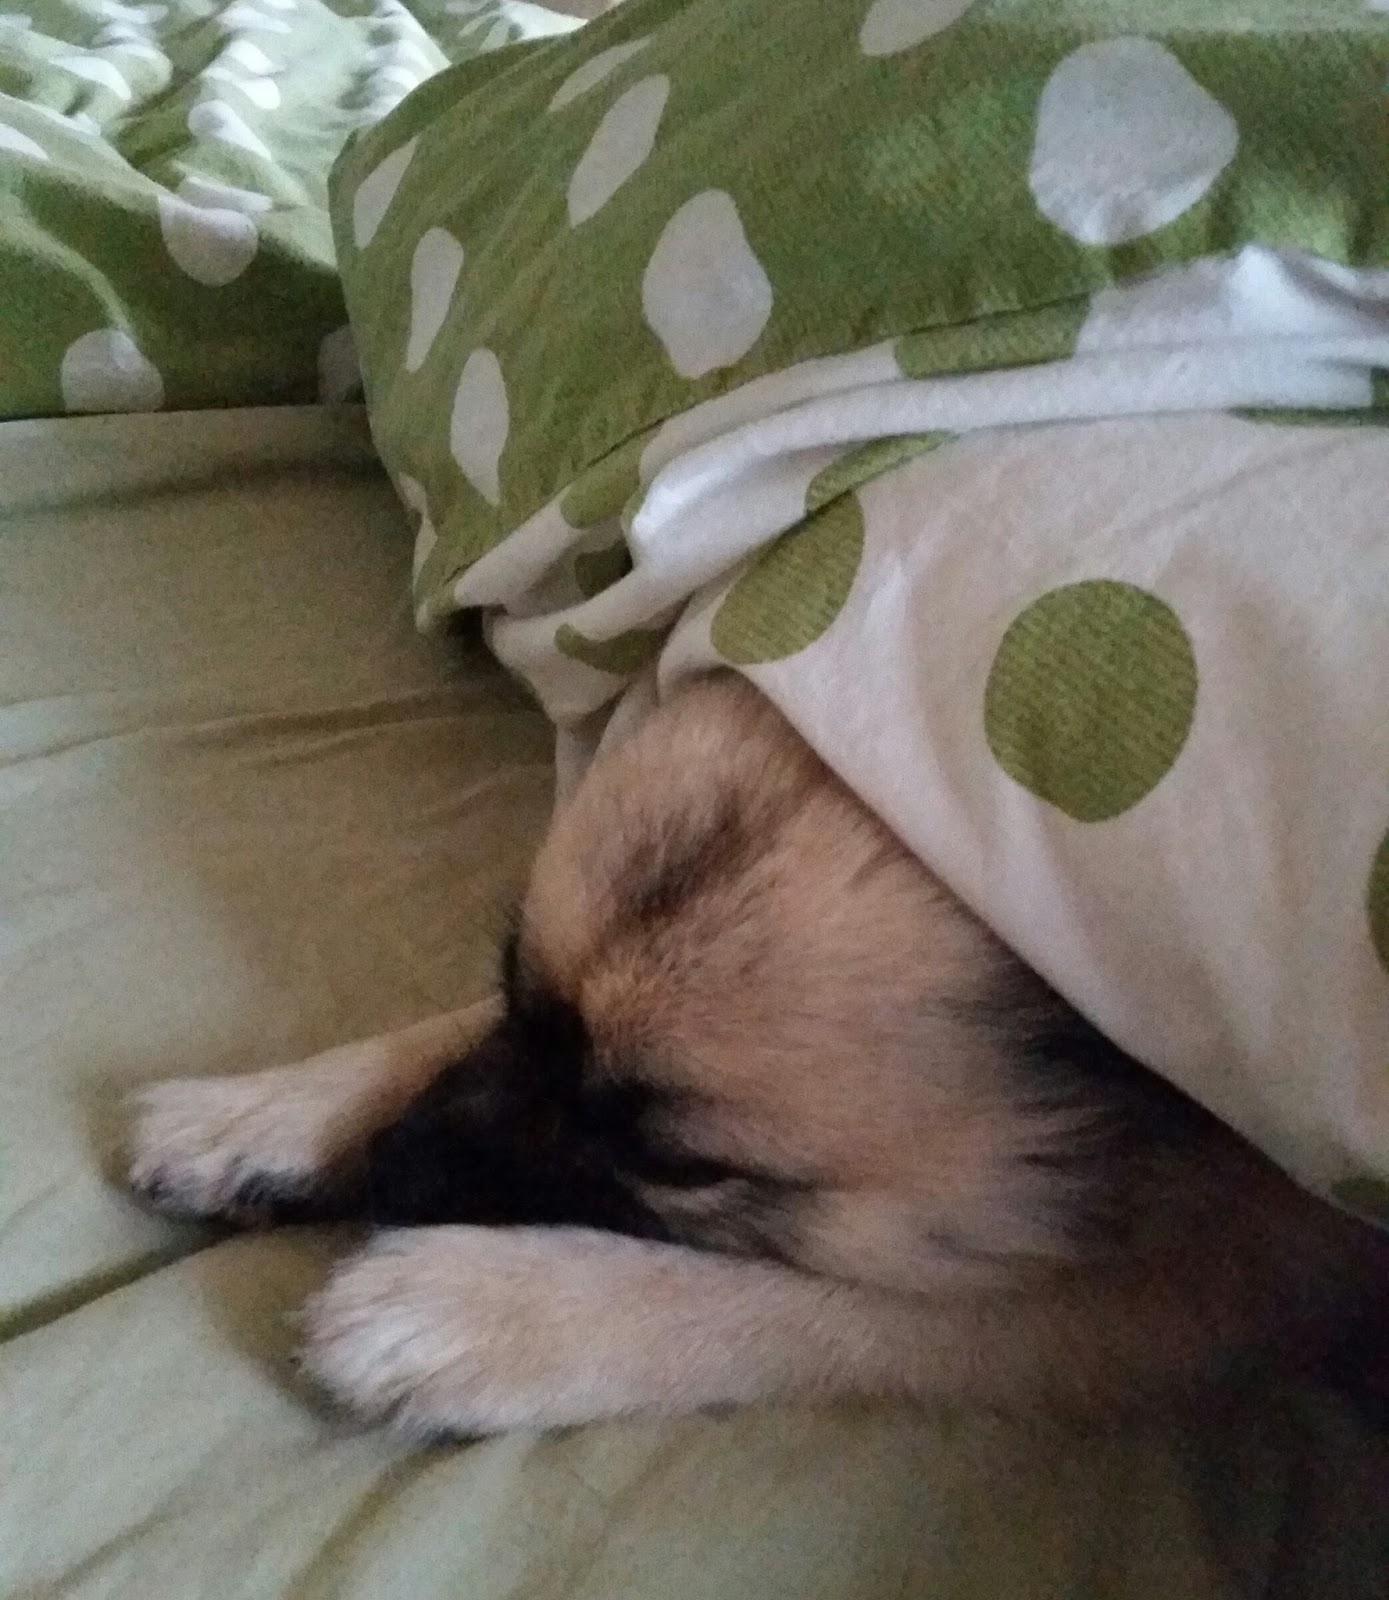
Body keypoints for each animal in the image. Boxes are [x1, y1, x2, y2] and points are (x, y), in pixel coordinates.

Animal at [125, 672, 1387, 1435]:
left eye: (681, 1167)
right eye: (514, 991)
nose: (393, 1169)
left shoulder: (1210, 1294)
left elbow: (824, 1308)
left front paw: (492, 1305)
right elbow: (441, 1035)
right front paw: (262, 1113)